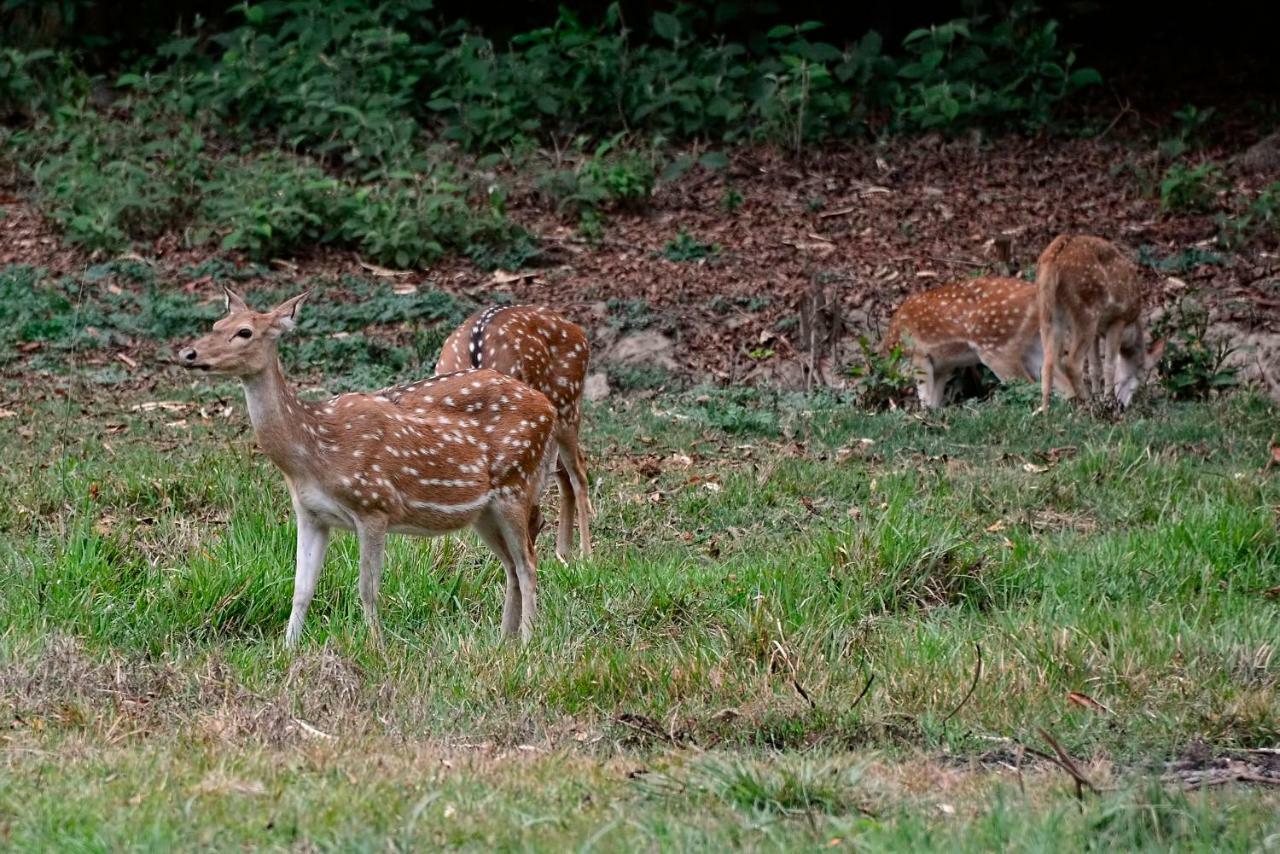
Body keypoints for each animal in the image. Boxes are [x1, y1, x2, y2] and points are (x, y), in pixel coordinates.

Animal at [177, 286, 558, 647]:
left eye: (244, 332)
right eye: (215, 324)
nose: (188, 354)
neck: (312, 455)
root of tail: (549, 407)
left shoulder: (374, 505)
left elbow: (367, 588)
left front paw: (377, 647)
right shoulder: (310, 514)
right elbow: (301, 590)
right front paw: (287, 650)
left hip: (516, 482)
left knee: (528, 563)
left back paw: (527, 642)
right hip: (484, 511)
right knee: (512, 564)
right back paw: (503, 641)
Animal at [430, 306, 588, 560]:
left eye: (538, 526)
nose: (537, 527)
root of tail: (578, 330)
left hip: (568, 403)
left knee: (579, 472)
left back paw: (586, 555)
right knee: (564, 475)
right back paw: (563, 554)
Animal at [1034, 234, 1167, 414]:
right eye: (1141, 373)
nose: (1123, 405)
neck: (1132, 328)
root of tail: (1054, 257)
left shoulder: (1098, 331)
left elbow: (1094, 367)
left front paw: (1099, 396)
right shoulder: (1118, 319)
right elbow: (1109, 364)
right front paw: (1108, 402)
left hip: (1049, 310)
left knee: (1049, 361)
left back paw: (1046, 412)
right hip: (1087, 311)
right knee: (1071, 363)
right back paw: (1089, 404)